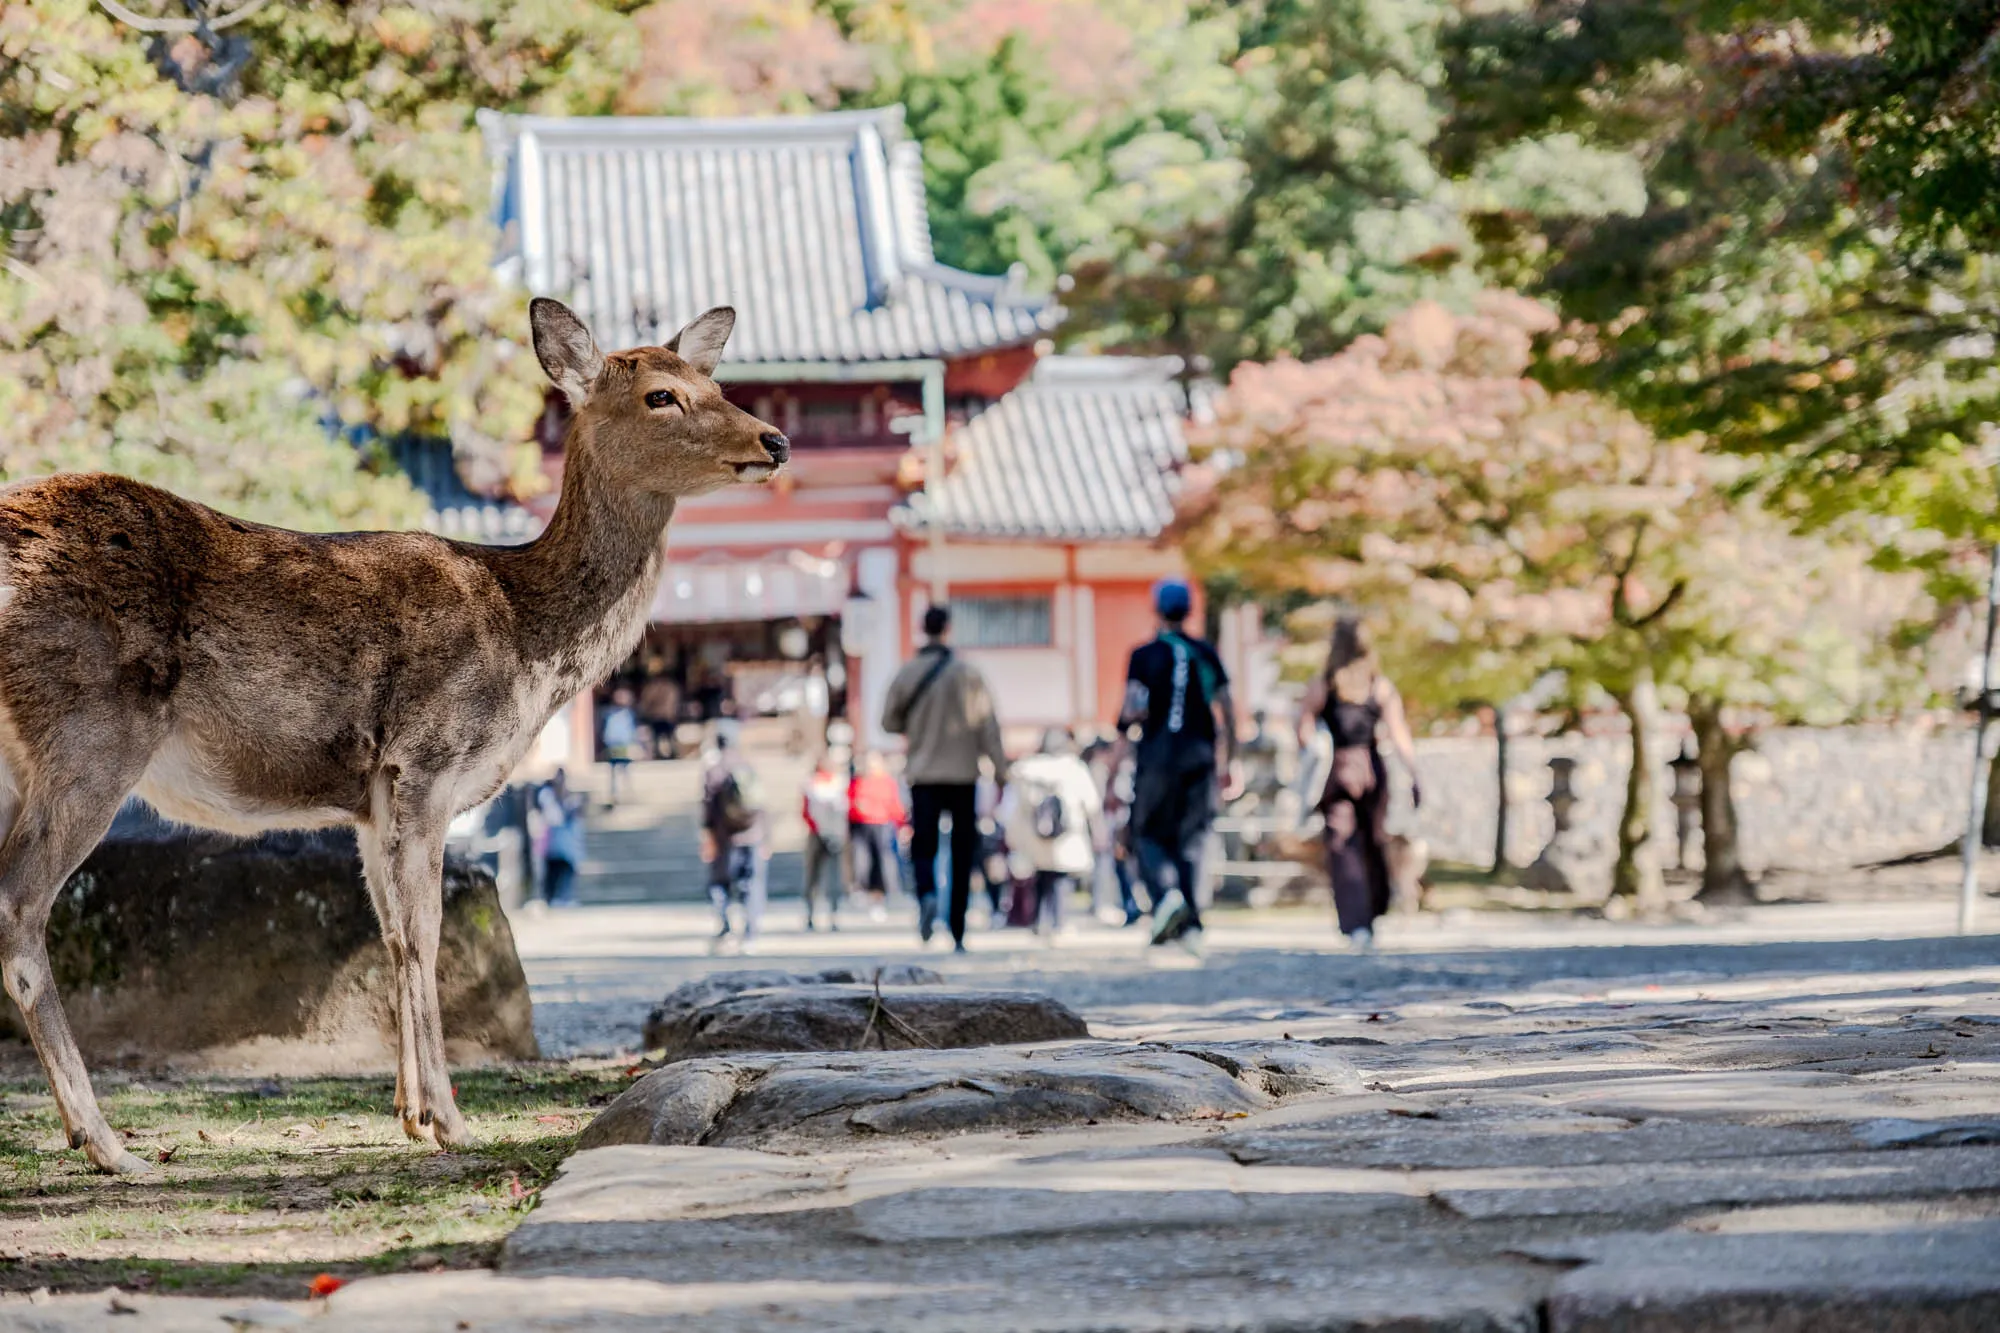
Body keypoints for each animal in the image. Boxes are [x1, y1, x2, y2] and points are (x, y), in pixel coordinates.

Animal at [0, 298, 785, 1173]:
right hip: (88, 733)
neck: (526, 640)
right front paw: (449, 1118)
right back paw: (106, 1141)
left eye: (715, 381)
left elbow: (387, 933)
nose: (774, 441)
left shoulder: (372, 800)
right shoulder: (427, 759)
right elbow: (425, 934)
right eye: (660, 395)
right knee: (19, 905)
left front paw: (409, 1112)